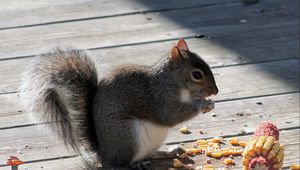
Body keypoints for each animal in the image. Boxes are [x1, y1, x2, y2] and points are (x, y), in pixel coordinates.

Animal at [21, 38, 218, 170]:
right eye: (197, 74)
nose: (215, 91)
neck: (171, 81)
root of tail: (104, 153)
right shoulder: (158, 97)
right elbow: (169, 115)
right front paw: (203, 104)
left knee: (150, 153)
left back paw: (169, 152)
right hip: (127, 136)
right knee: (119, 164)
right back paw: (134, 165)